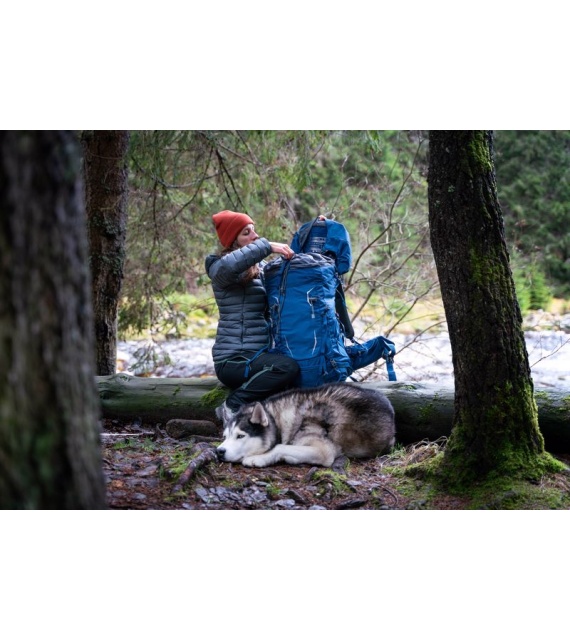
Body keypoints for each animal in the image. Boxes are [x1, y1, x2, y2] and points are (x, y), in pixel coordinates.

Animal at [216, 382, 396, 468]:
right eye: (225, 437)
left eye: (240, 436)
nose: (219, 451)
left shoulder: (323, 450)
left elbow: (280, 446)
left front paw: (259, 459)